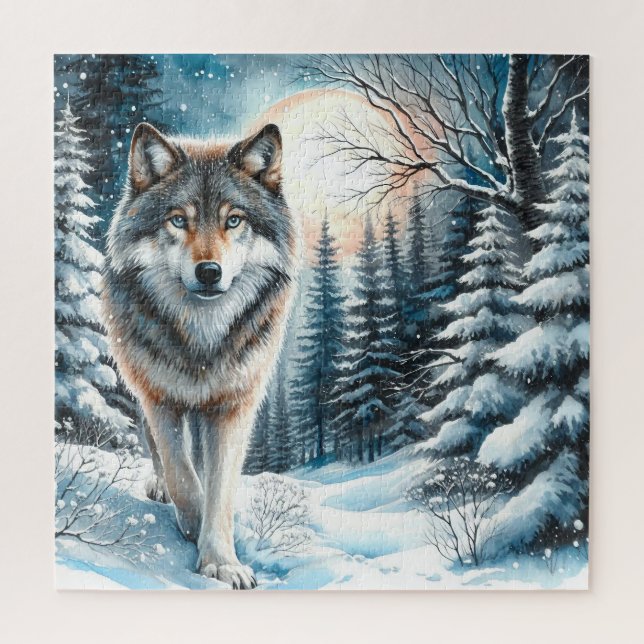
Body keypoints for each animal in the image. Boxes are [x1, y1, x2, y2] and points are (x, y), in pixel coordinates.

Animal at [102, 122, 299, 589]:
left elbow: (220, 489)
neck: (202, 340)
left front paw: (222, 562)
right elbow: (181, 475)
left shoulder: (234, 406)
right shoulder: (159, 397)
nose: (209, 272)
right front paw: (191, 523)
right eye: (178, 220)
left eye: (234, 220)